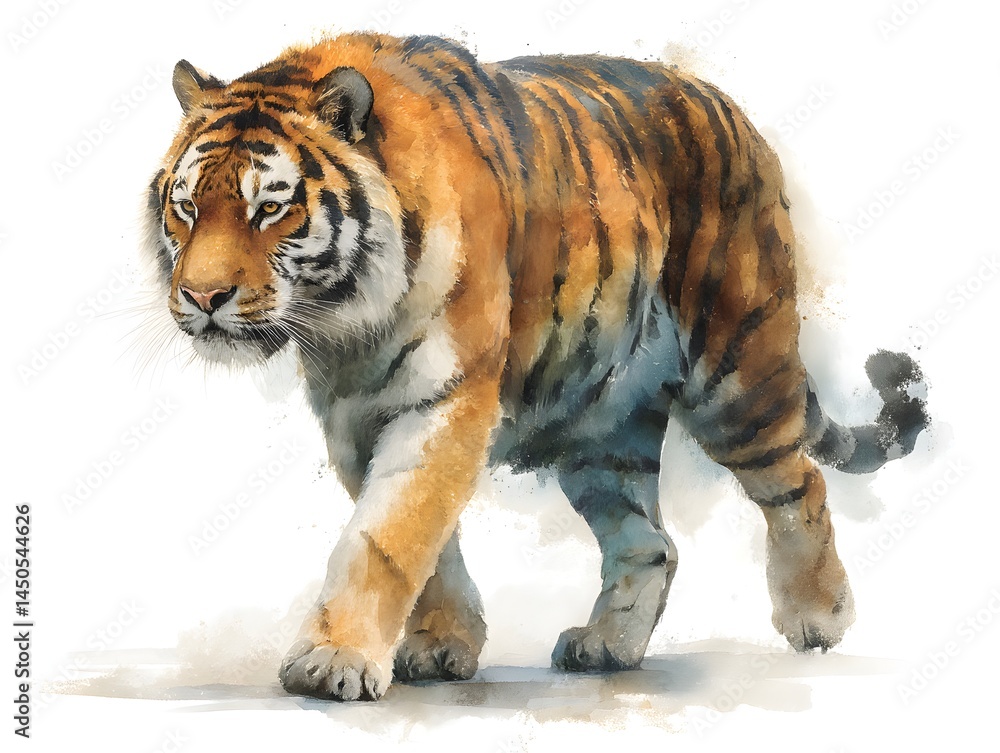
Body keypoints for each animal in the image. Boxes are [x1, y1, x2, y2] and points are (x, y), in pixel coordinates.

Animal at [142, 32, 929, 702]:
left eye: (270, 209)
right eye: (186, 208)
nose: (202, 297)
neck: (343, 323)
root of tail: (731, 111)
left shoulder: (446, 398)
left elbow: (387, 537)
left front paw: (332, 660)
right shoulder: (355, 420)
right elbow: (424, 539)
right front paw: (443, 644)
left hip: (738, 373)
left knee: (800, 483)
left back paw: (818, 615)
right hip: (603, 430)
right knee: (652, 543)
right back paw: (608, 646)